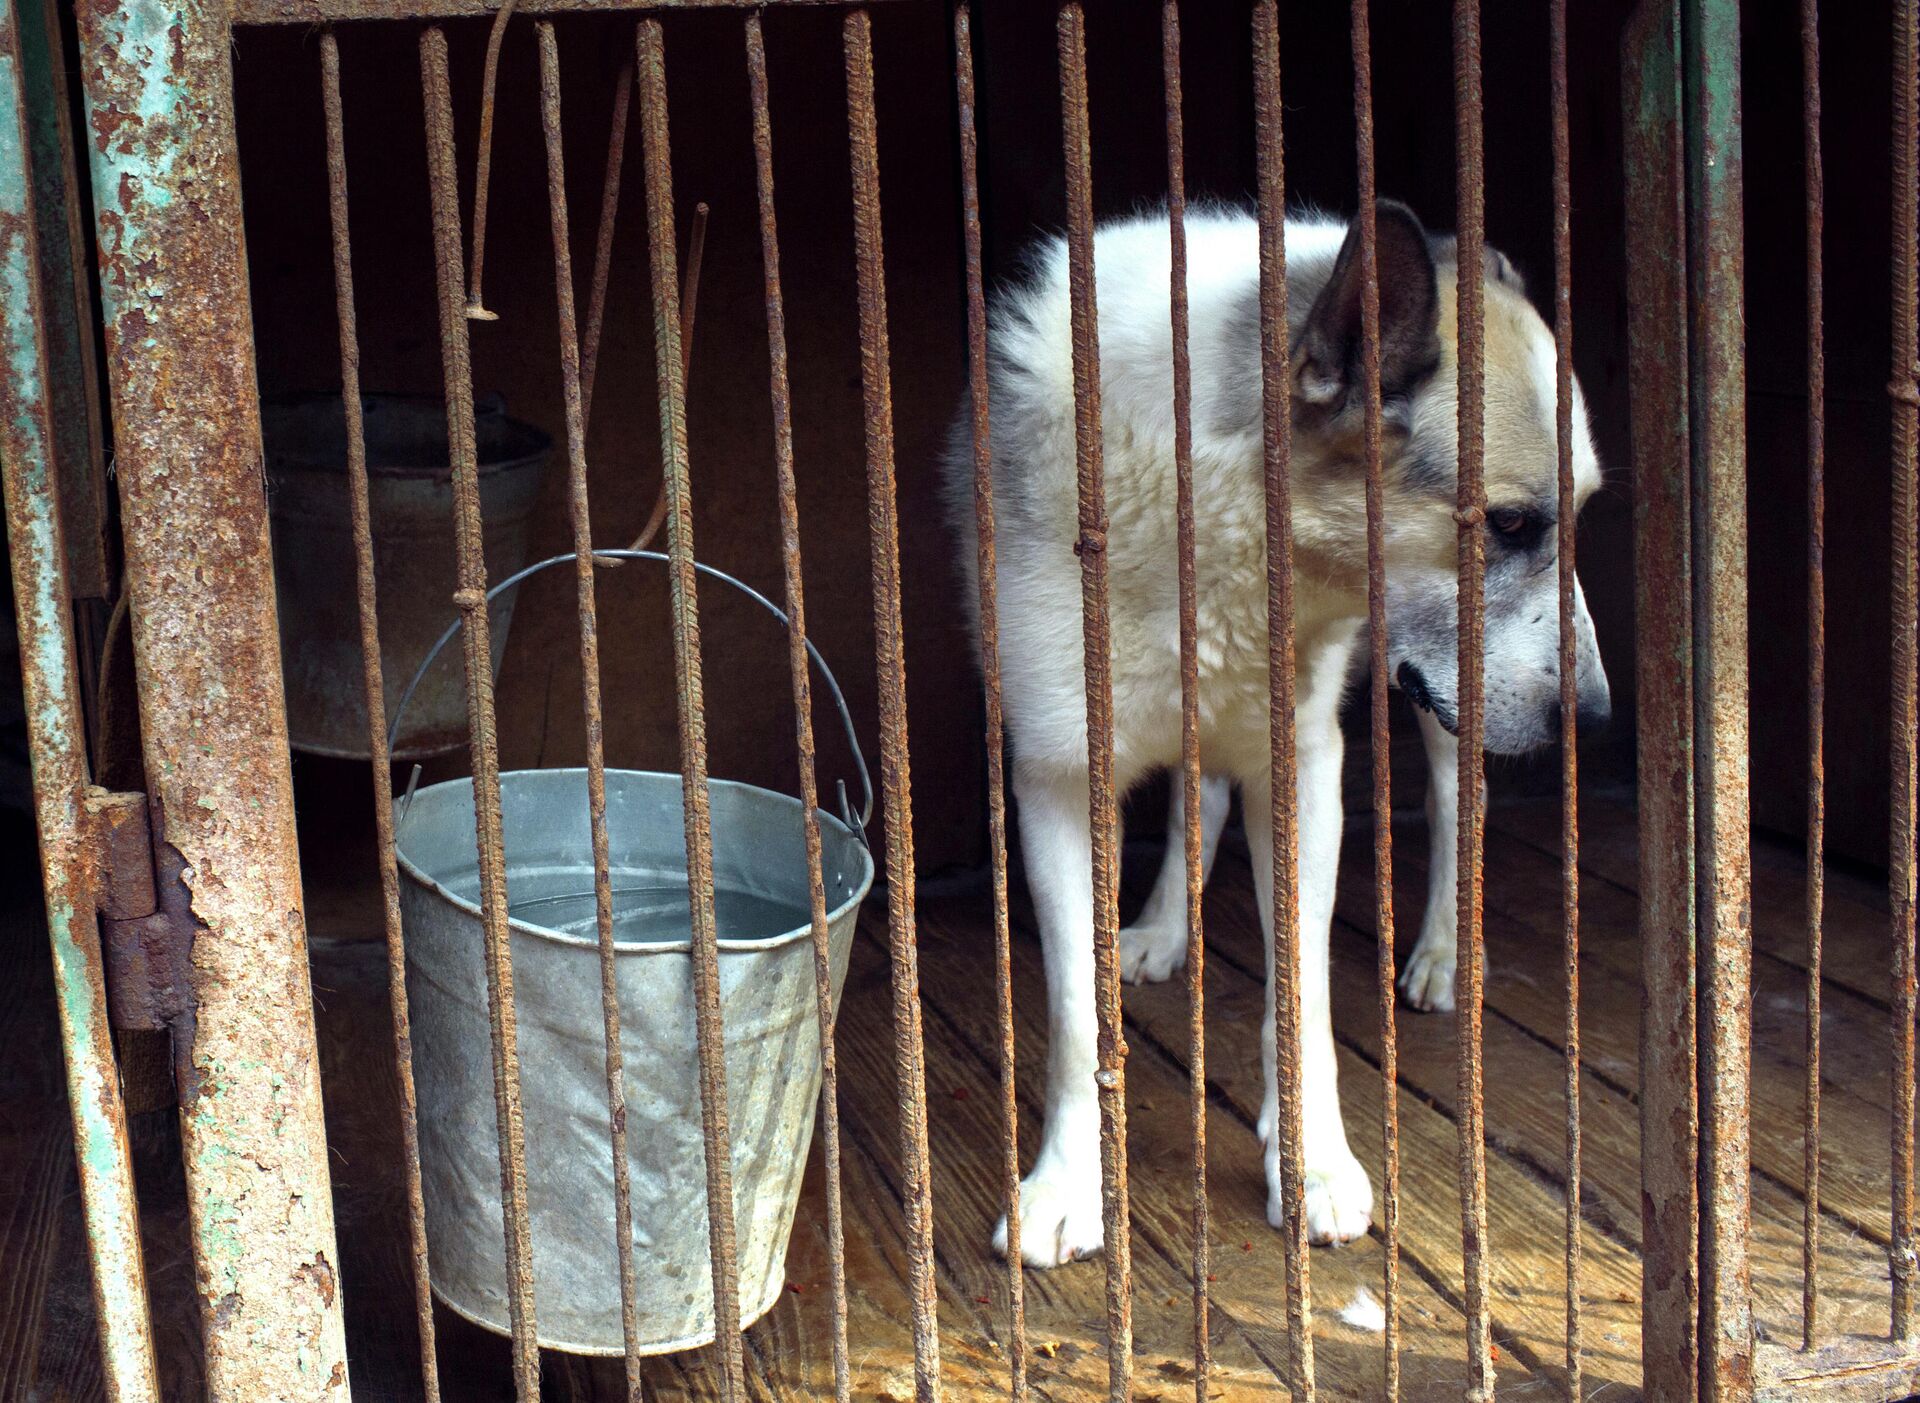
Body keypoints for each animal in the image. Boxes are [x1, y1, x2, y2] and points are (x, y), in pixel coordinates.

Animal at [944, 203, 1605, 1266]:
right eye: (1506, 524)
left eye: (1578, 517)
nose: (1597, 718)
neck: (1215, 504)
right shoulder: (1055, 773)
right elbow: (1080, 1016)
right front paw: (1067, 1183)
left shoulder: (1304, 766)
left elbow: (1299, 996)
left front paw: (1312, 1163)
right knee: (1200, 794)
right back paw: (1166, 927)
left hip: (1434, 703)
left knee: (1457, 794)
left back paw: (1441, 954)